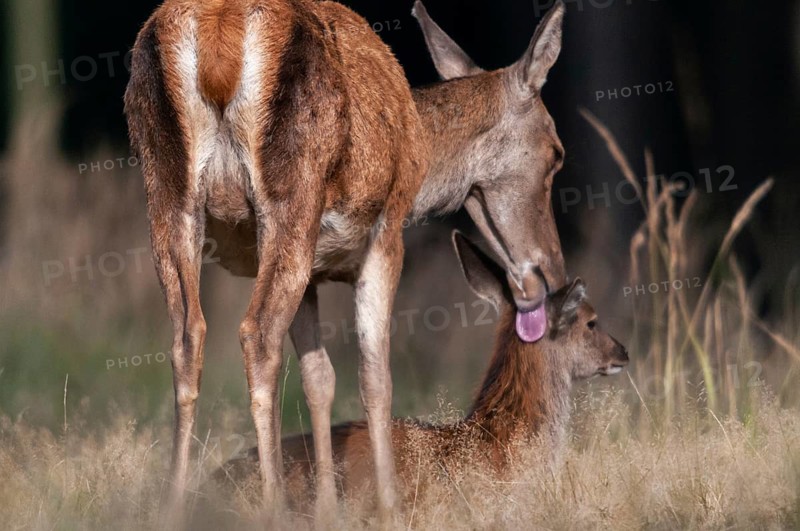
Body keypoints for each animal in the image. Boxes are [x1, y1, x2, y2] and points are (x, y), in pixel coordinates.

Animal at [125, 0, 569, 523]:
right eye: (557, 153)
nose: (553, 273)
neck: (420, 157)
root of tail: (218, 45)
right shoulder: (386, 235)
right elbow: (375, 376)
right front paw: (390, 509)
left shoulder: (312, 274)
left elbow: (320, 377)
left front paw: (328, 510)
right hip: (292, 192)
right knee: (257, 333)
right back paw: (271, 507)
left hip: (167, 194)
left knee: (188, 335)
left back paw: (172, 505)